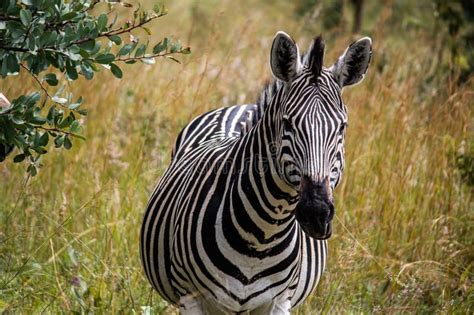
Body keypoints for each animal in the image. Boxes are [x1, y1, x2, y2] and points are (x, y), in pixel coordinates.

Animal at [139, 30, 372, 314]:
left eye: (342, 127)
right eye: (287, 124)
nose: (316, 213)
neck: (263, 236)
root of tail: (239, 106)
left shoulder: (280, 301)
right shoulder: (190, 297)